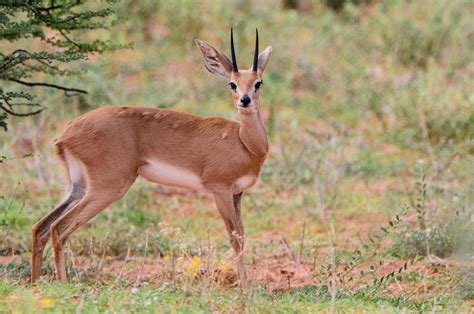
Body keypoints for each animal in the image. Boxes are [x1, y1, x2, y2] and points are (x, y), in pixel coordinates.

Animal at [31, 29, 272, 288]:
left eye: (258, 82)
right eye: (232, 84)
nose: (245, 100)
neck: (246, 143)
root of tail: (67, 133)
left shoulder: (237, 193)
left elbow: (242, 235)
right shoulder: (220, 190)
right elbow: (234, 237)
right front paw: (246, 287)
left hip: (79, 187)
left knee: (41, 227)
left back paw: (34, 282)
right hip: (107, 188)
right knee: (59, 228)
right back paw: (62, 283)